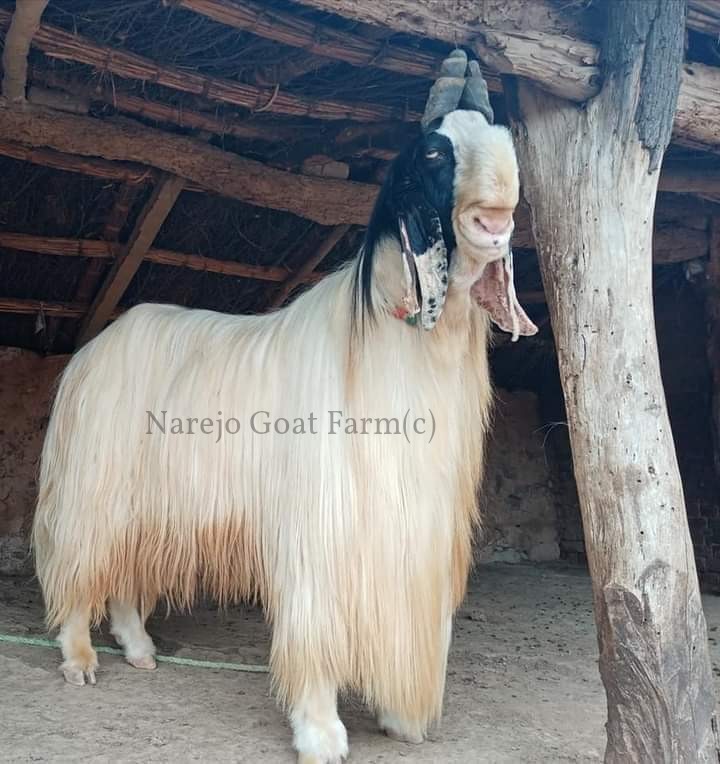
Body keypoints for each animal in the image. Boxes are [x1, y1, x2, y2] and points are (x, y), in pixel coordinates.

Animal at [33, 49, 536, 764]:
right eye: (435, 152)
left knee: (128, 576)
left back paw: (140, 650)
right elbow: (314, 623)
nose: (493, 224)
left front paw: (396, 718)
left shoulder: (414, 532)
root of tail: (94, 348)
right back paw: (80, 658)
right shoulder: (323, 522)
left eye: (504, 142)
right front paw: (320, 730)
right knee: (79, 566)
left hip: (151, 505)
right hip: (94, 490)